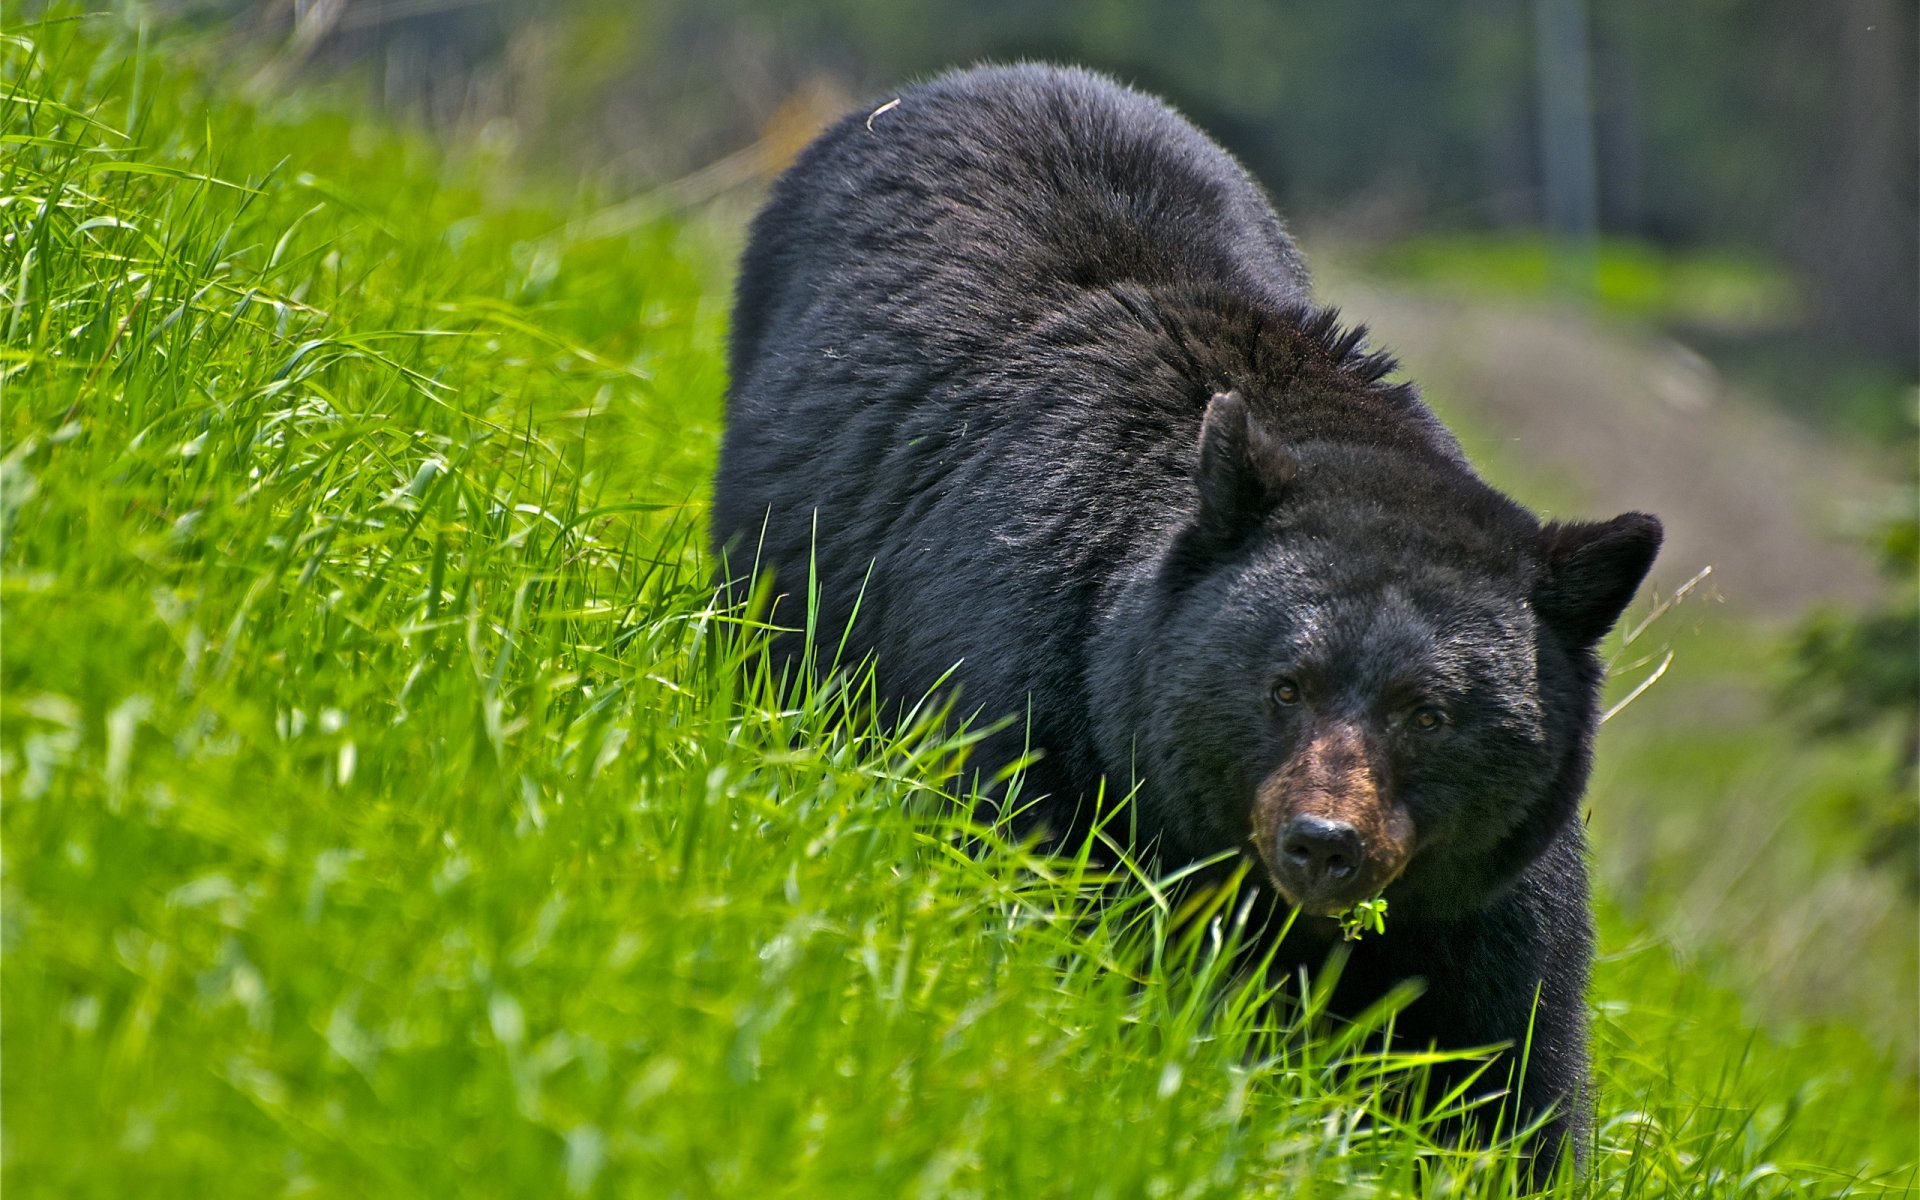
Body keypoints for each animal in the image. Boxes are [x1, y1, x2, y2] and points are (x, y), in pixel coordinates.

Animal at [711, 63, 1661, 1181]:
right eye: (1284, 686)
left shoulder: (1483, 902)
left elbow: (1506, 1066)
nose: (1324, 844)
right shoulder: (1040, 709)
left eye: (1429, 715)